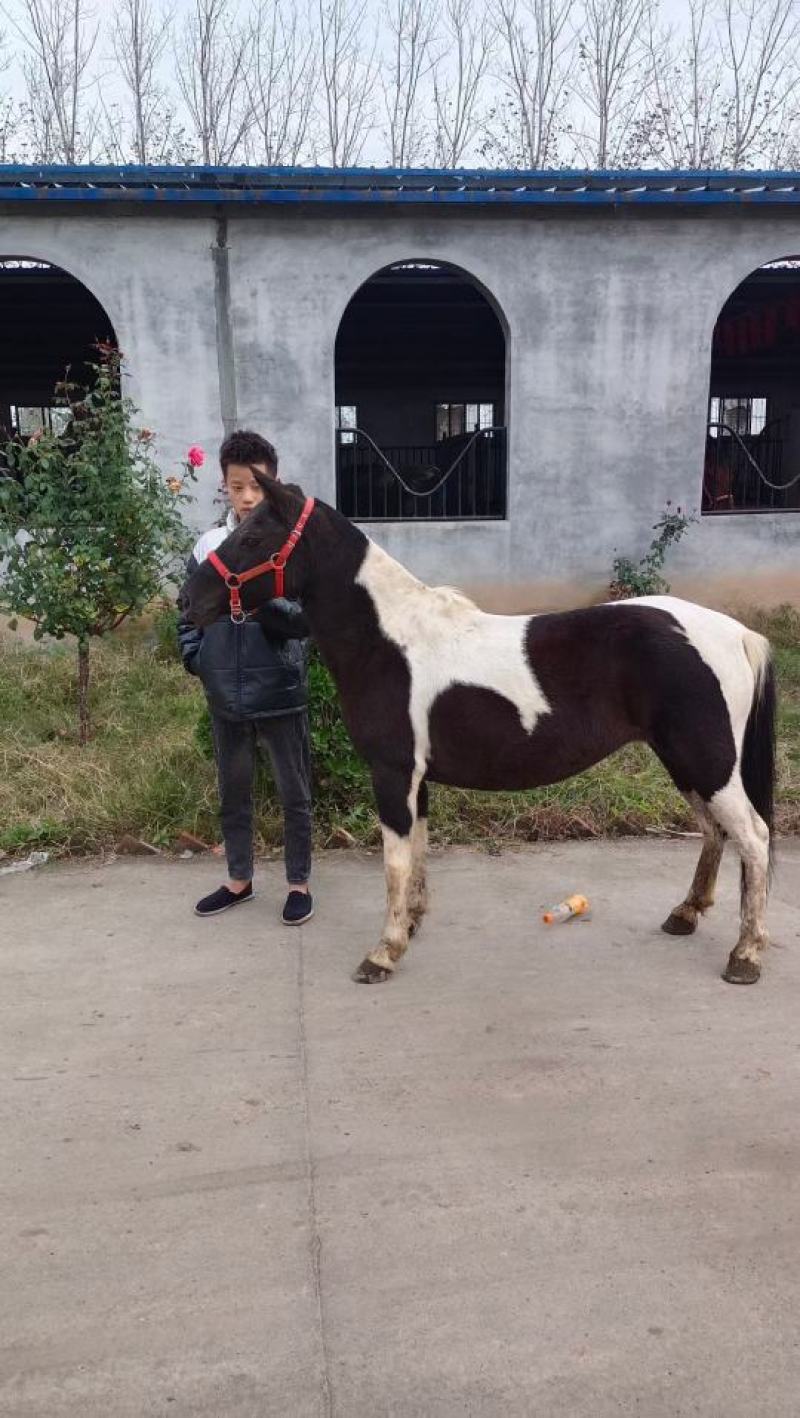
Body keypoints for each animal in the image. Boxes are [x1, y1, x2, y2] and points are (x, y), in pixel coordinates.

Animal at [182, 478, 777, 987]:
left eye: (253, 535)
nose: (188, 601)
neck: (389, 640)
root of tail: (736, 633)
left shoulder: (393, 773)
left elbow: (395, 861)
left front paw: (383, 952)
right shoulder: (416, 779)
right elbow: (418, 852)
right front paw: (411, 926)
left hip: (706, 761)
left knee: (752, 836)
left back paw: (745, 956)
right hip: (685, 761)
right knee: (715, 832)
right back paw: (686, 914)